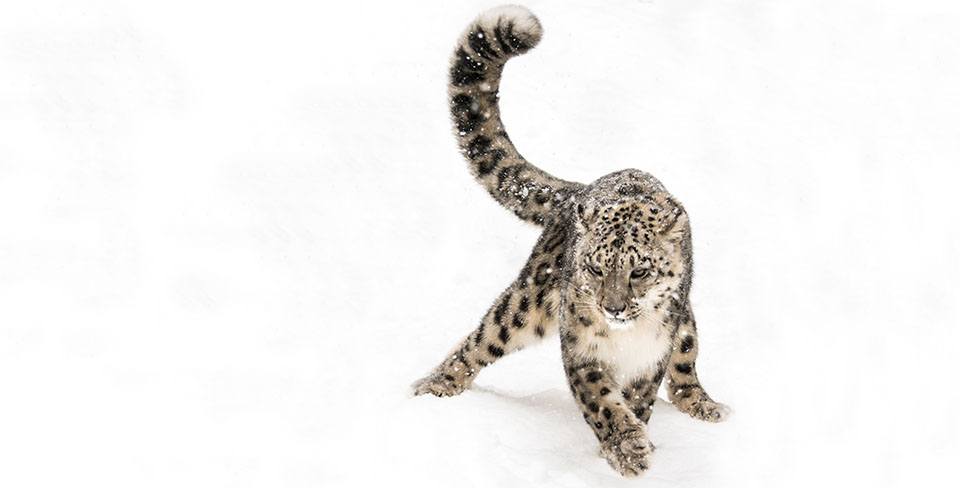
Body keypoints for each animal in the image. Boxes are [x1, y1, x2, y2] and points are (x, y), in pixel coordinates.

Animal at [412, 5, 730, 476]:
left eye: (640, 270)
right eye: (596, 267)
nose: (612, 308)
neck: (625, 338)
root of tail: (577, 191)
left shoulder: (650, 358)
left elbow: (640, 398)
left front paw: (629, 443)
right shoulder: (582, 350)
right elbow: (601, 401)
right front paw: (627, 448)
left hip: (685, 326)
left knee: (685, 371)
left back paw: (706, 406)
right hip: (525, 303)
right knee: (482, 338)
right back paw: (434, 386)